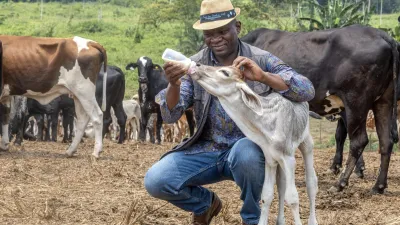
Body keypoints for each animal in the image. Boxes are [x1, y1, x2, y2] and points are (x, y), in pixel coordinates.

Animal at [241, 24, 400, 193]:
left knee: (359, 141)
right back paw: (378, 186)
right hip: (383, 101)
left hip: (356, 102)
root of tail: (381, 34)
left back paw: (340, 183)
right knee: (386, 141)